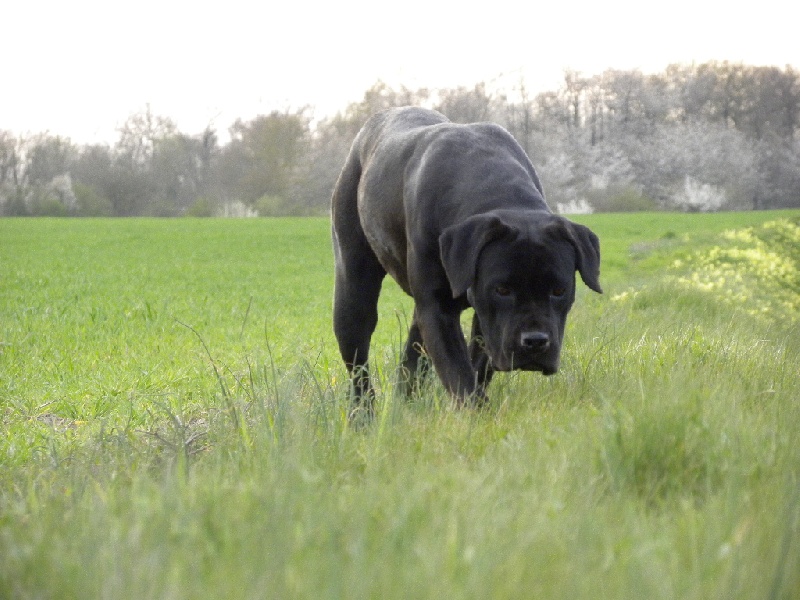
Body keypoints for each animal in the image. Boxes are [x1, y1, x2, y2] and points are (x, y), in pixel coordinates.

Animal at [330, 106, 600, 408]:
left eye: (559, 290)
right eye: (502, 289)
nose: (535, 341)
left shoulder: (482, 321)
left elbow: (475, 367)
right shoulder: (438, 308)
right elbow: (459, 373)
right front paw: (477, 412)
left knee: (412, 359)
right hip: (353, 291)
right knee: (358, 364)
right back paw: (363, 413)